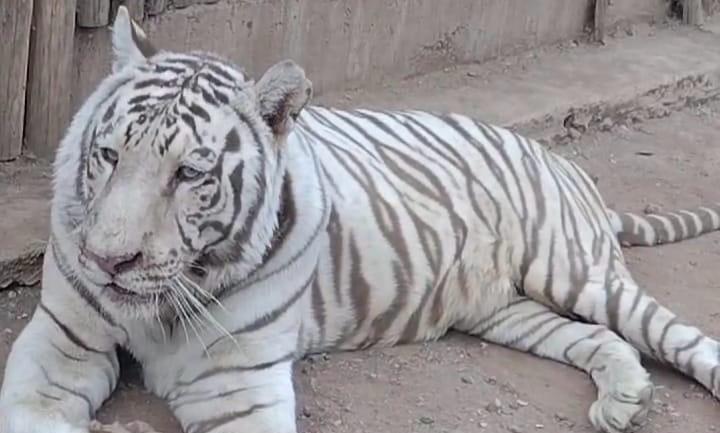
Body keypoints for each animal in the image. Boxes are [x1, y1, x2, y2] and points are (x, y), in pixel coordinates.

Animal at [1, 6, 719, 433]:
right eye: (109, 155)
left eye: (188, 175)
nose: (108, 261)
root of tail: (561, 161)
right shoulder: (63, 342)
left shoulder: (236, 384)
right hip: (507, 310)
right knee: (600, 339)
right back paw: (623, 400)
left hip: (573, 270)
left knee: (673, 335)